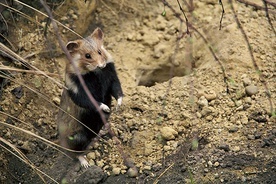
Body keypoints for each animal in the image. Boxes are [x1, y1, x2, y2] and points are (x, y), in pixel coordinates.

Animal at [56, 27, 123, 168]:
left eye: (99, 51)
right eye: (87, 56)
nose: (101, 65)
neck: (94, 72)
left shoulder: (112, 77)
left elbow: (118, 91)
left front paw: (117, 107)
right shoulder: (77, 90)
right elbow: (90, 101)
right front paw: (106, 108)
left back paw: (104, 131)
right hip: (78, 137)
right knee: (76, 153)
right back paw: (85, 163)